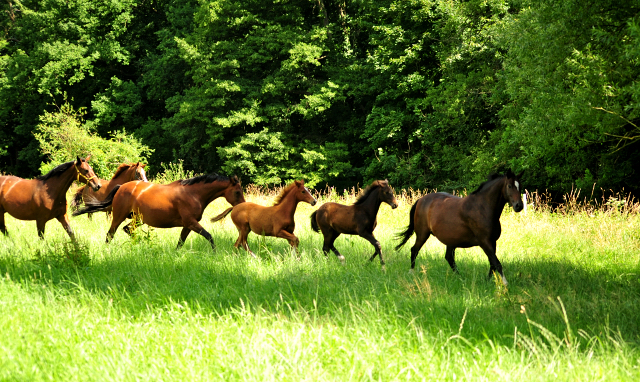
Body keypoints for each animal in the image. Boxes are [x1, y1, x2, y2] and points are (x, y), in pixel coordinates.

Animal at [73, 174, 245, 251]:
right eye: (237, 192)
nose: (243, 206)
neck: (193, 193)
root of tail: (121, 187)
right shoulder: (191, 222)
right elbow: (209, 236)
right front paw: (214, 253)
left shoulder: (187, 225)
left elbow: (180, 242)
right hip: (119, 217)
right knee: (111, 234)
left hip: (137, 219)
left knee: (128, 230)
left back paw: (140, 245)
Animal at [396, 170, 524, 286]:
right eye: (509, 186)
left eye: (520, 186)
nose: (519, 206)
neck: (483, 208)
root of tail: (421, 200)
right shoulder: (484, 242)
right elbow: (496, 262)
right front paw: (505, 283)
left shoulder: (493, 241)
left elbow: (492, 263)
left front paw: (488, 281)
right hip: (422, 234)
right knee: (414, 250)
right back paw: (411, 273)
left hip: (450, 240)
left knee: (449, 258)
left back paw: (460, 278)